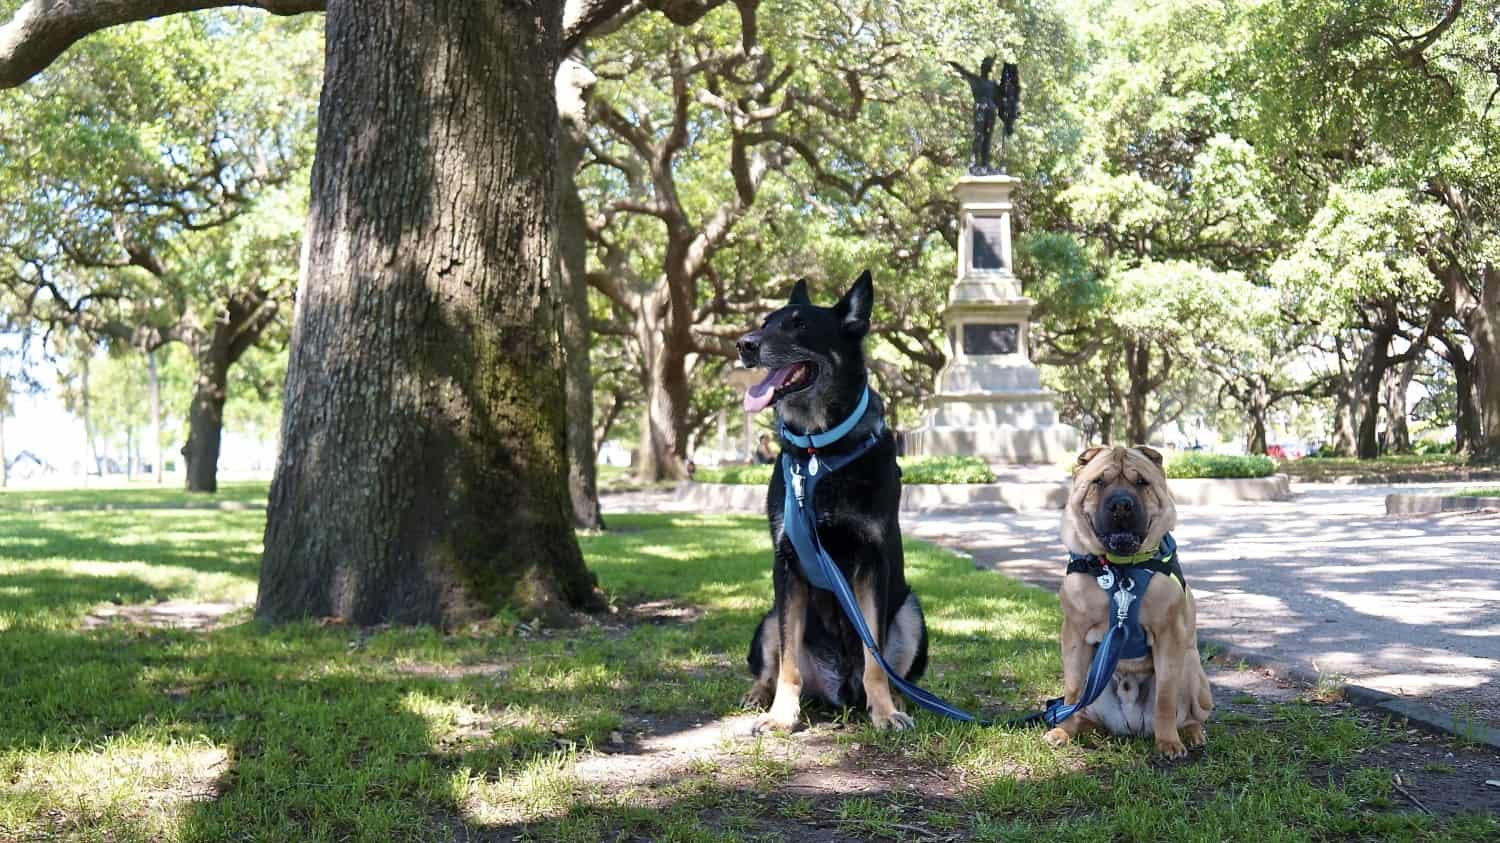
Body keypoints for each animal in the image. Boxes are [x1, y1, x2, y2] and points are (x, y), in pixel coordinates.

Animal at [735, 273, 930, 732]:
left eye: (799, 325)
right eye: (765, 322)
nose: (743, 344)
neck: (818, 450)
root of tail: (839, 690)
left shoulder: (871, 563)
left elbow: (875, 658)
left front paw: (885, 712)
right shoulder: (787, 567)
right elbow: (787, 662)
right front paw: (781, 715)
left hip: (911, 613)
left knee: (891, 669)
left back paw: (896, 700)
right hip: (768, 618)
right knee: (770, 665)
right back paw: (759, 696)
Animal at [1044, 447, 1218, 756]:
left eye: (1141, 483)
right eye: (1099, 482)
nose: (1122, 505)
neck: (1120, 569)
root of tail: (1130, 725)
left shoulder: (1169, 636)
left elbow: (1165, 698)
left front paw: (1168, 742)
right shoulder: (1075, 633)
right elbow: (1072, 692)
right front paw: (1063, 730)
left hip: (1191, 666)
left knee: (1190, 715)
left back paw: (1191, 733)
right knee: (1082, 707)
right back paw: (1078, 727)